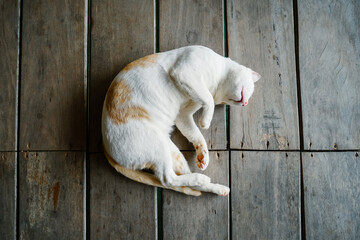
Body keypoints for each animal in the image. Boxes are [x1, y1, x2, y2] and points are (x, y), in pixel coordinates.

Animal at [102, 45, 260, 197]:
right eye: (250, 89)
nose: (245, 103)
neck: (215, 84)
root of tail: (106, 151)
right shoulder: (184, 73)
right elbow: (209, 99)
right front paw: (206, 121)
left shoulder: (183, 115)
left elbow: (196, 134)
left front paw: (204, 155)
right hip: (158, 146)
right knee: (167, 179)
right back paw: (200, 178)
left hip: (173, 153)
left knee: (181, 179)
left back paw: (215, 186)